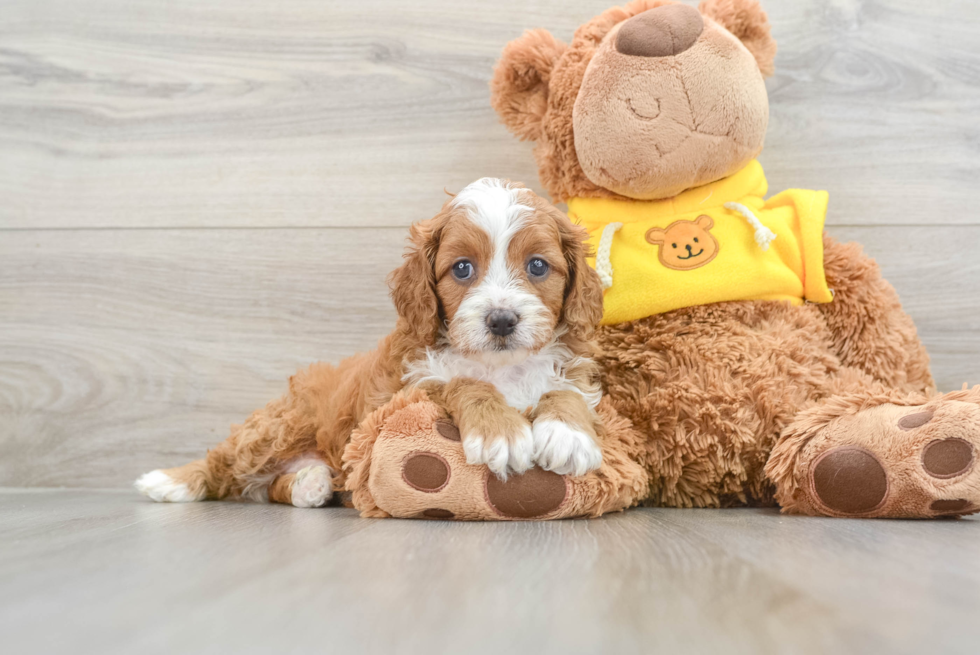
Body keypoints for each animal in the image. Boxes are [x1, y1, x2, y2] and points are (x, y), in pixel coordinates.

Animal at [130, 178, 604, 508]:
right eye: (462, 268)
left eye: (538, 266)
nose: (502, 320)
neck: (500, 366)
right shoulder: (404, 390)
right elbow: (463, 382)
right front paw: (499, 431)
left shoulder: (570, 369)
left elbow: (565, 390)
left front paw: (566, 433)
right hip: (281, 425)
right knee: (227, 462)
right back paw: (171, 481)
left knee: (269, 487)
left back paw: (309, 484)